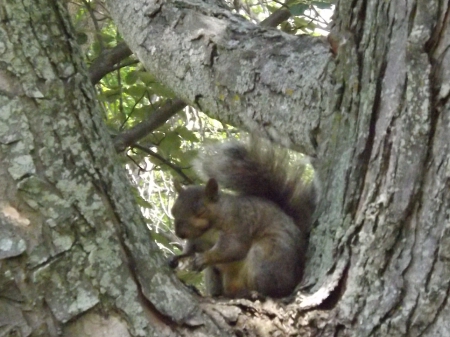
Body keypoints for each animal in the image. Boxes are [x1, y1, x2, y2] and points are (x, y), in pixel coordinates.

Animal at [170, 136, 316, 296]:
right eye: (173, 211)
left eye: (201, 211)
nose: (180, 234)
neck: (208, 230)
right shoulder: (198, 240)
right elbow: (190, 249)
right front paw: (180, 256)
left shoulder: (239, 224)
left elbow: (233, 248)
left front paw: (204, 257)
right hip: (216, 274)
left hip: (267, 255)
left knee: (274, 288)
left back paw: (254, 293)